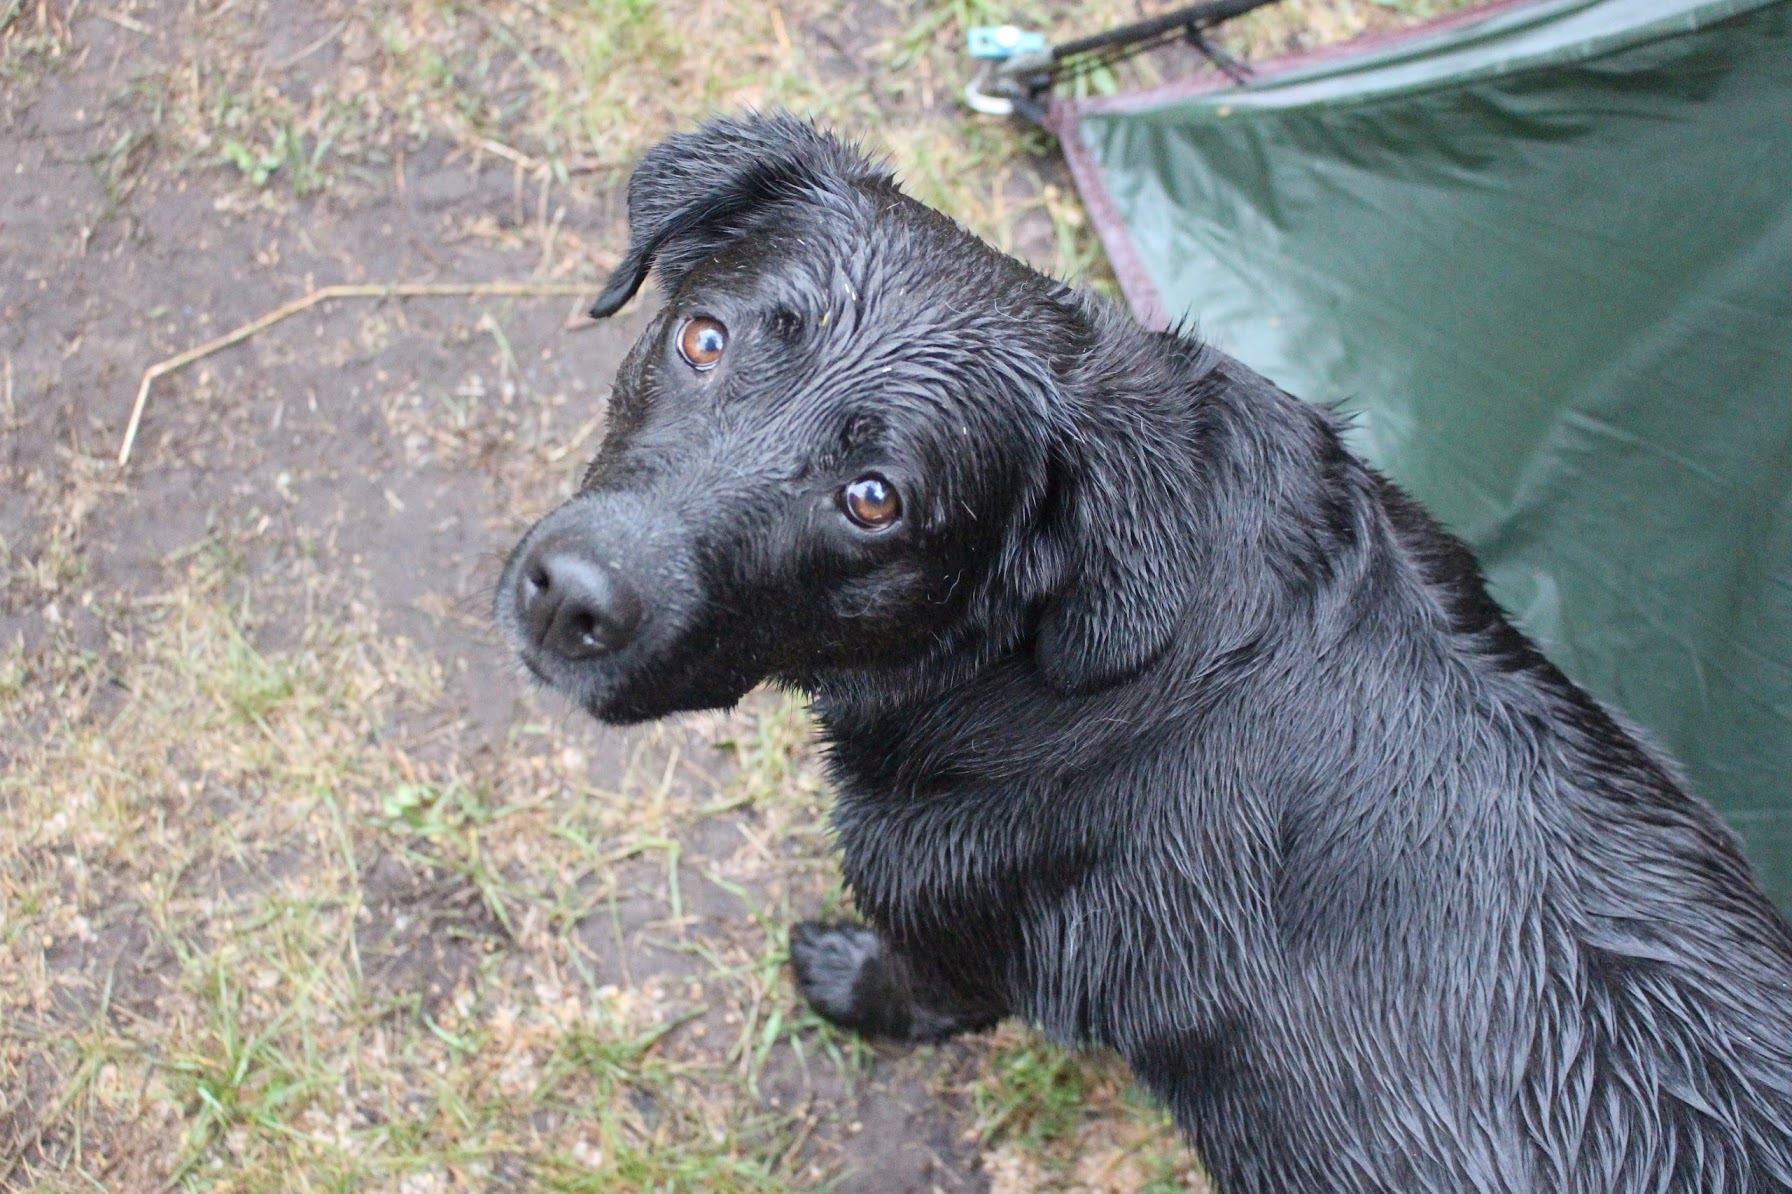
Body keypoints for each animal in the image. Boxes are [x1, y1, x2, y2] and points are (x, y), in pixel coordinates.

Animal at [498, 113, 1792, 1190]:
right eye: (701, 338)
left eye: (874, 498)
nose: (571, 597)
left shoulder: (956, 919)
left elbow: (919, 993)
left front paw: (840, 981)